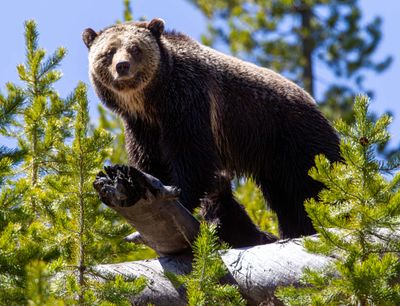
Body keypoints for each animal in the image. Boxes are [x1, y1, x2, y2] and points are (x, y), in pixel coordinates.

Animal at [83, 19, 342, 247]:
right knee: (287, 199)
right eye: (109, 52)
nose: (122, 66)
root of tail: (313, 102)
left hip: (293, 136)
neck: (152, 100)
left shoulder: (189, 104)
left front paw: (179, 197)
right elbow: (150, 160)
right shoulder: (141, 126)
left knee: (314, 183)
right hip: (272, 160)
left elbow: (192, 157)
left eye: (135, 49)